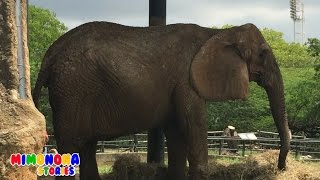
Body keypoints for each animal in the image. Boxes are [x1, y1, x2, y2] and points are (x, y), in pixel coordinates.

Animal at [32, 21, 290, 179]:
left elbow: (176, 138)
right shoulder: (187, 81)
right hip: (72, 90)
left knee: (86, 148)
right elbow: (193, 132)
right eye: (263, 54)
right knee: (72, 147)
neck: (216, 32)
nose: (280, 168)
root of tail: (50, 54)